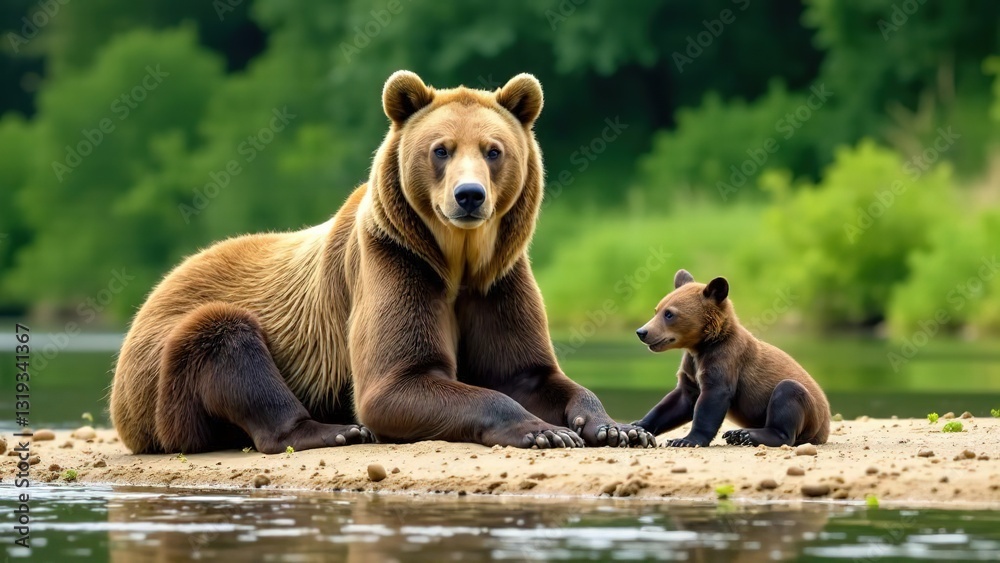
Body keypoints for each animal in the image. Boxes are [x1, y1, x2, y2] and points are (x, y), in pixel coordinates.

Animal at [109, 71, 655, 455]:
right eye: (441, 149)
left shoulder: (497, 280)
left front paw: (614, 426)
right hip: (160, 370)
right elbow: (397, 381)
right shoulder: (396, 261)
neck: (457, 259)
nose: (469, 195)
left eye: (493, 150)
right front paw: (542, 431)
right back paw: (333, 431)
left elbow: (531, 373)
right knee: (223, 335)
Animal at [632, 269, 830, 447]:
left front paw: (686, 440)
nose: (642, 332)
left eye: (669, 313)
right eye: (656, 310)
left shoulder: (725, 360)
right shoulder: (691, 368)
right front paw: (637, 427)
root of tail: (825, 428)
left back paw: (747, 435)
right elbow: (677, 402)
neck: (701, 346)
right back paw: (737, 434)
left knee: (788, 393)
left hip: (811, 414)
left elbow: (712, 400)